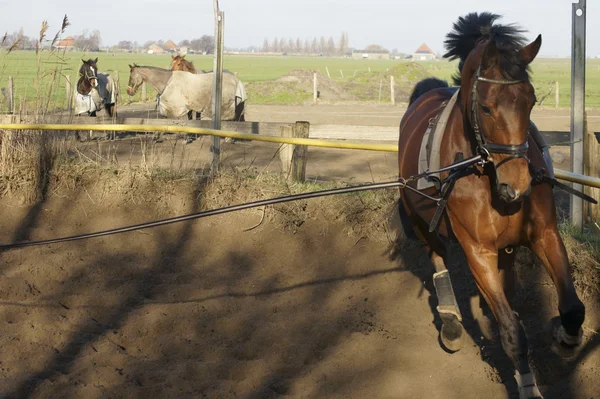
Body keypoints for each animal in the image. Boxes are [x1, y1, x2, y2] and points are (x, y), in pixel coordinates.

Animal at [398, 10, 592, 398]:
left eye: (531, 101)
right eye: (486, 107)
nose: (517, 185)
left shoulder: (544, 235)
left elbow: (572, 307)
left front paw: (565, 337)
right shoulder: (478, 252)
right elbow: (512, 333)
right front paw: (528, 385)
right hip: (423, 224)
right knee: (438, 261)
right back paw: (450, 321)